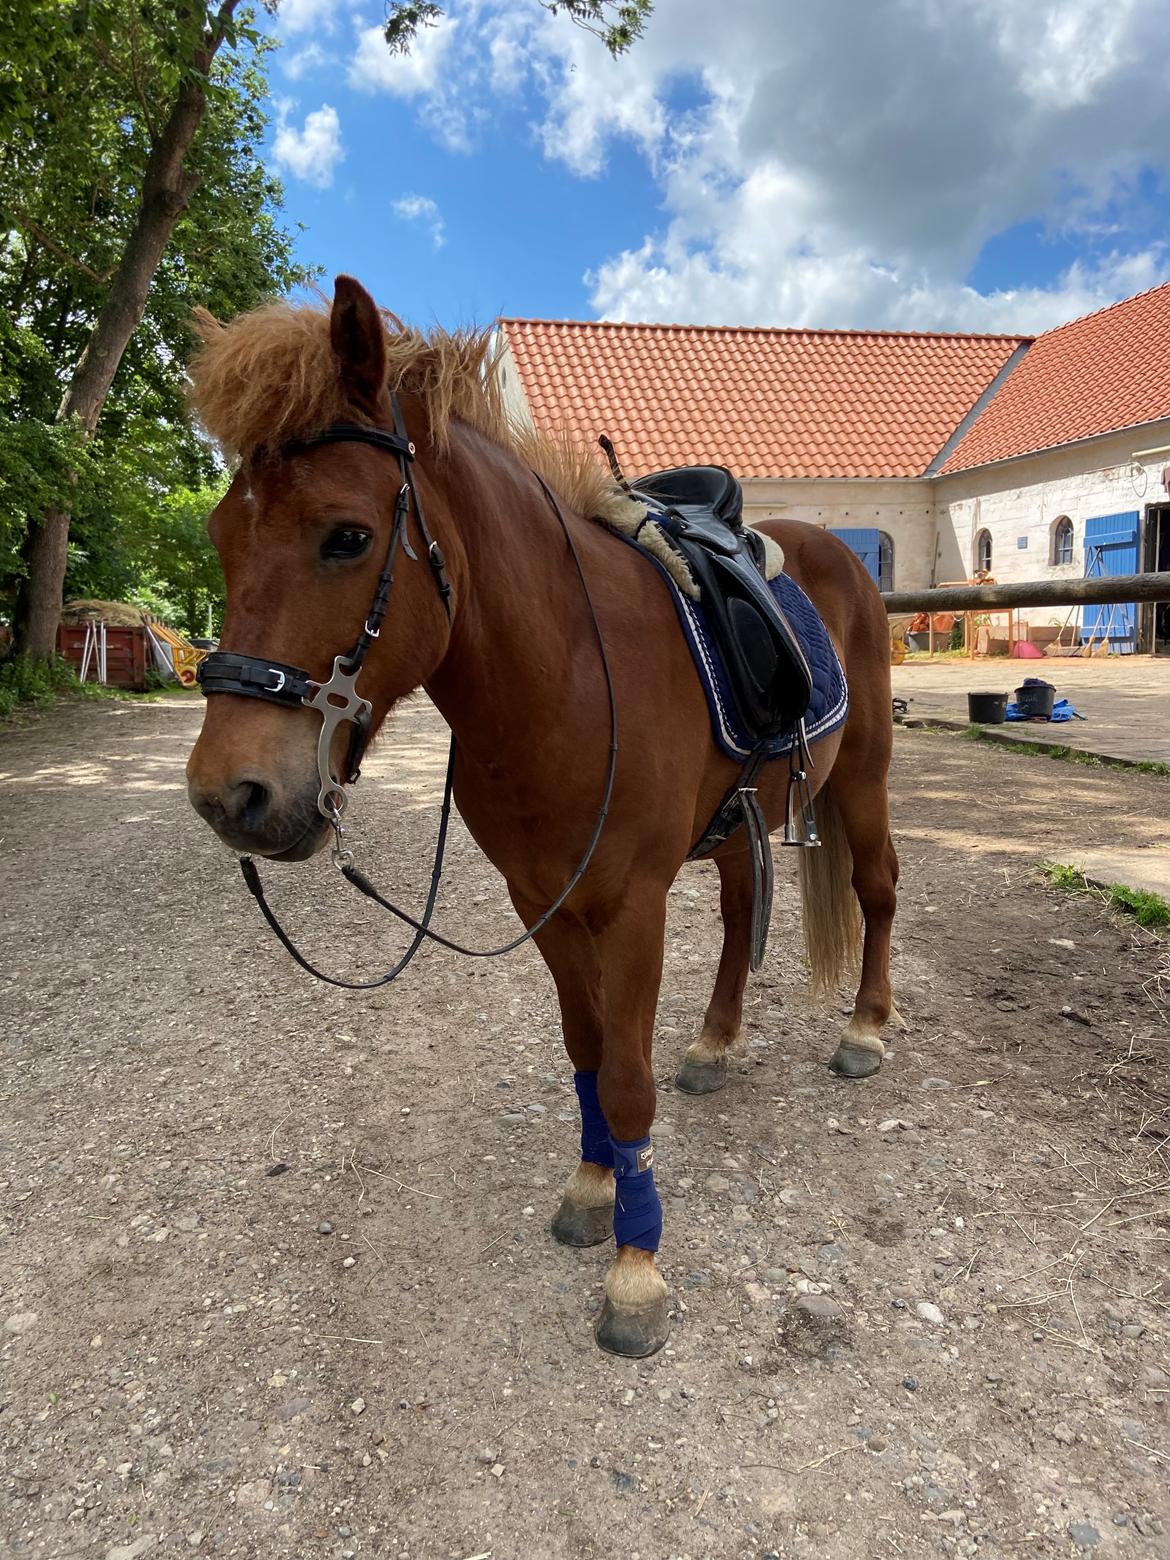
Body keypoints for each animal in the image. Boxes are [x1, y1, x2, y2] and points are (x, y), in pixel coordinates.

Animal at [183, 277, 904, 1354]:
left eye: (347, 535)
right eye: (222, 540)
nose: (229, 794)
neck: (568, 674)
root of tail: (838, 554)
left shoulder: (633, 907)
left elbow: (628, 1076)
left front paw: (636, 1274)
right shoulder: (547, 906)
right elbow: (588, 1054)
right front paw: (594, 1189)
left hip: (860, 779)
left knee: (878, 889)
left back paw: (864, 1030)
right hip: (743, 821)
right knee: (743, 910)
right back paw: (716, 1042)